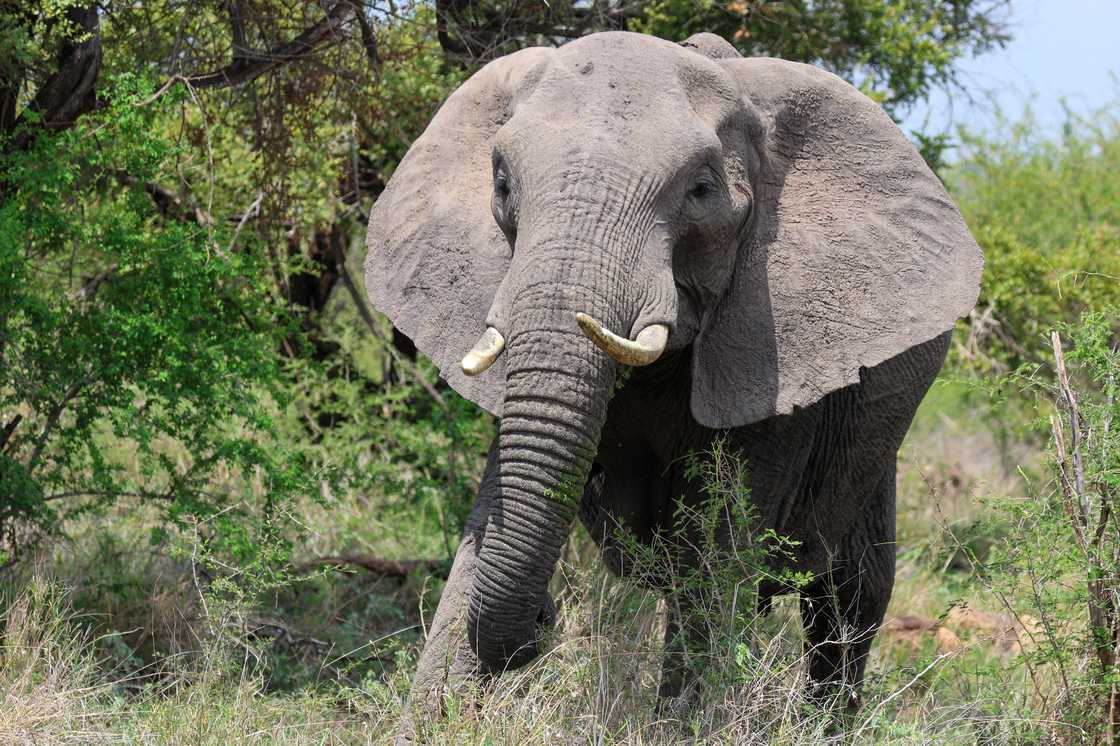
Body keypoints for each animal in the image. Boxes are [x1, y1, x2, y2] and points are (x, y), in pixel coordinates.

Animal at [360, 30, 981, 721]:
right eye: (501, 183)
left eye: (702, 190)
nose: (543, 620)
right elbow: (491, 512)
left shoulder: (770, 351)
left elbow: (713, 556)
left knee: (850, 593)